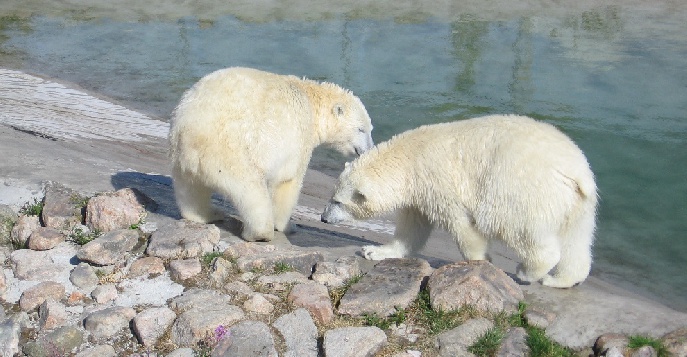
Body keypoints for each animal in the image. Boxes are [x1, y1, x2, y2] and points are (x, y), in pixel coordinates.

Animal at [172, 67, 376, 241]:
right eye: (361, 129)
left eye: (370, 129)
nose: (368, 149)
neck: (312, 101)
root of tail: (193, 134)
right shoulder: (300, 135)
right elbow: (288, 181)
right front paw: (288, 226)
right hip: (231, 153)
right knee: (251, 191)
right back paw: (260, 233)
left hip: (180, 157)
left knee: (190, 190)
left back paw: (207, 214)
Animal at [322, 115, 596, 288]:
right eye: (331, 196)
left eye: (338, 202)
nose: (323, 217)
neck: (409, 158)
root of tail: (575, 172)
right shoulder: (419, 192)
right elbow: (412, 229)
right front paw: (374, 251)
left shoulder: (438, 181)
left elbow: (461, 225)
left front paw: (479, 262)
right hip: (579, 203)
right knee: (576, 240)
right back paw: (561, 280)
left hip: (521, 189)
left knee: (521, 229)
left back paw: (527, 271)